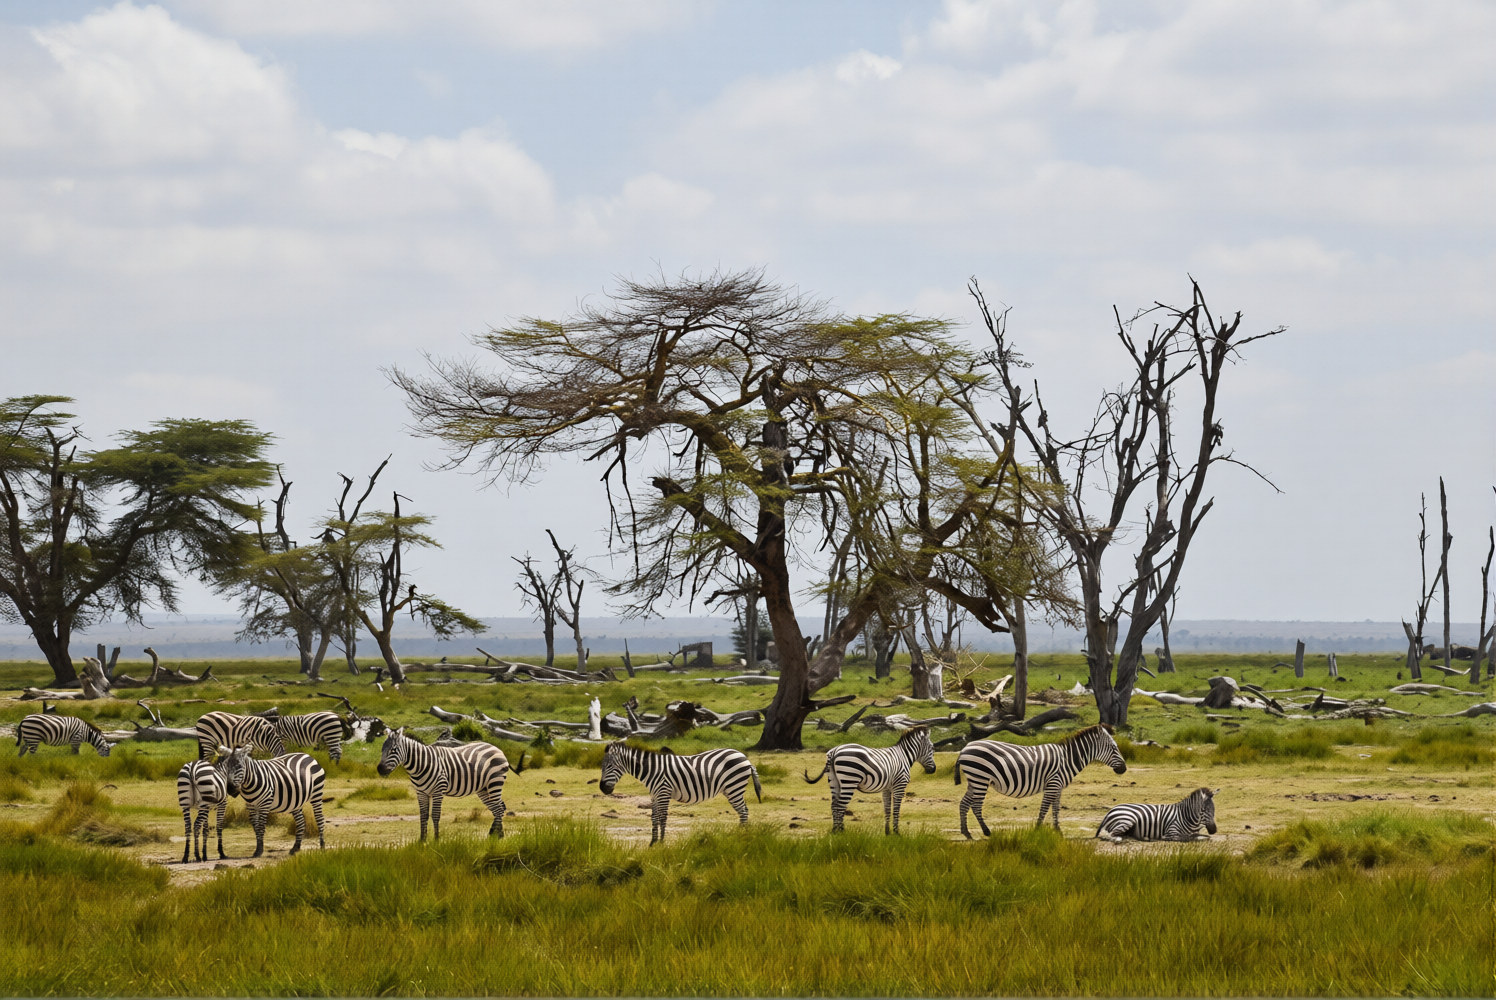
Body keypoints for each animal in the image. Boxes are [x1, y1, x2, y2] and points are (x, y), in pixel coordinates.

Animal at [376, 727, 511, 840]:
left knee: (499, 808)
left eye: (393, 750)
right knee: (497, 808)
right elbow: (423, 815)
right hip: (483, 788)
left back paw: (497, 837)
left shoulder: (438, 790)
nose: (380, 770)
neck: (421, 764)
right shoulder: (421, 792)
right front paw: (422, 841)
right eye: (382, 749)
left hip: (495, 782)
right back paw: (495, 835)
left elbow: (435, 815)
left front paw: (436, 840)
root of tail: (496, 748)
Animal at [599, 741, 761, 845]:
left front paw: (661, 842)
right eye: (602, 766)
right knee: (744, 811)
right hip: (731, 789)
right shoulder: (654, 795)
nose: (602, 789)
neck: (652, 770)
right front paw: (653, 842)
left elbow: (663, 818)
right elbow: (654, 818)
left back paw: (740, 837)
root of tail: (745, 758)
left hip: (734, 787)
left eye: (610, 766)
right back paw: (740, 835)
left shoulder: (664, 792)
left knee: (743, 812)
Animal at [803, 726, 936, 834]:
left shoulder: (887, 788)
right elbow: (896, 809)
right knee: (840, 805)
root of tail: (834, 751)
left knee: (834, 805)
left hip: (833, 780)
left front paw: (887, 832)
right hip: (849, 779)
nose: (933, 770)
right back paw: (841, 832)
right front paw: (897, 832)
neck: (904, 756)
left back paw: (834, 831)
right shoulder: (900, 785)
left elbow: (887, 809)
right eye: (932, 748)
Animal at [954, 724, 1127, 837]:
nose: (1124, 769)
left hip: (975, 780)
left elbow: (1055, 808)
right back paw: (986, 831)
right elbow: (1044, 808)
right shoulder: (1053, 784)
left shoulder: (1058, 787)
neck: (1067, 759)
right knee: (976, 806)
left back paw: (966, 833)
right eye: (1114, 748)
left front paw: (1058, 831)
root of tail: (964, 748)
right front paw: (1037, 829)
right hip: (980, 778)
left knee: (964, 804)